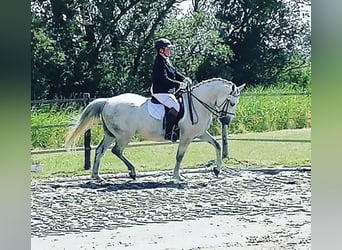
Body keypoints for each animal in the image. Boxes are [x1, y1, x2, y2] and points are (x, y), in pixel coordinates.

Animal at [65, 77, 246, 181]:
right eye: (232, 102)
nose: (226, 120)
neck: (197, 103)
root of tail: (107, 101)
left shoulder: (200, 134)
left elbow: (217, 145)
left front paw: (217, 170)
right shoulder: (186, 137)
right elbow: (180, 156)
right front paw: (177, 176)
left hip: (111, 134)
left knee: (100, 150)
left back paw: (97, 176)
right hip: (124, 136)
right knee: (116, 150)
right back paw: (131, 172)